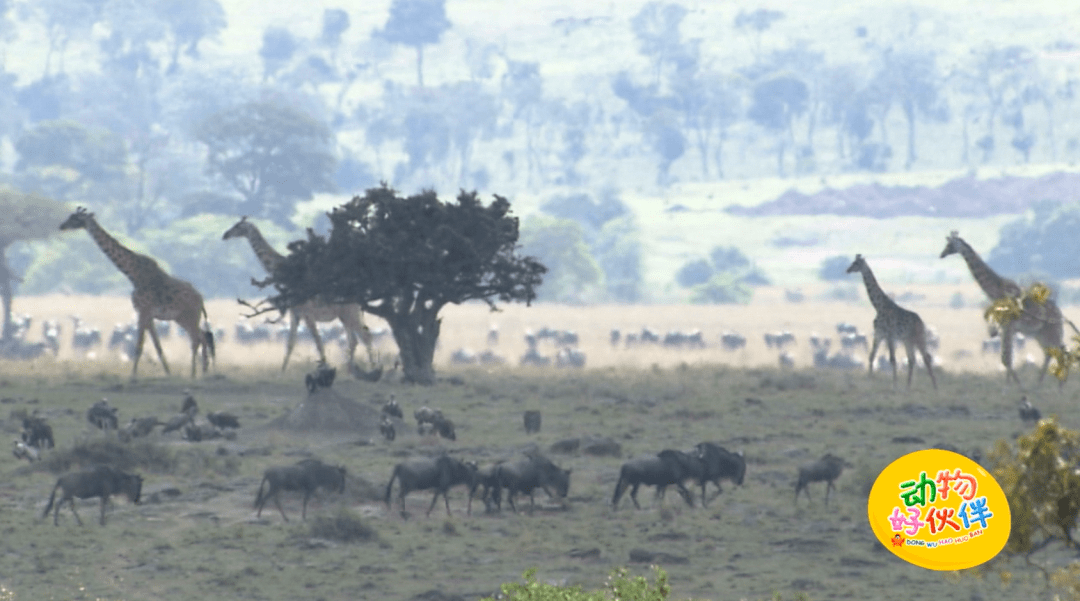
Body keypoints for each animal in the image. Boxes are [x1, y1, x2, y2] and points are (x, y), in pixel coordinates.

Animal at [59, 204, 212, 378]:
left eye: (76, 218)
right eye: (71, 216)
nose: (61, 226)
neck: (132, 274)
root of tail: (201, 300)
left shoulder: (143, 311)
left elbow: (139, 346)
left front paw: (133, 377)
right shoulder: (148, 315)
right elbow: (157, 346)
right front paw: (168, 373)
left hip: (189, 316)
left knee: (197, 339)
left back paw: (195, 374)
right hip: (181, 318)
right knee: (202, 337)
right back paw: (203, 372)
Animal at [221, 214, 378, 367]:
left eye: (238, 226)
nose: (225, 235)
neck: (288, 273)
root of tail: (361, 292)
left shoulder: (307, 313)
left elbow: (318, 344)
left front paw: (324, 369)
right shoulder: (294, 313)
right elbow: (290, 345)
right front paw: (282, 372)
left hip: (350, 312)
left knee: (365, 336)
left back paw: (373, 368)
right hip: (345, 315)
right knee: (354, 340)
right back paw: (352, 368)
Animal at [842, 255, 937, 389]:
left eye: (857, 263)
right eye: (853, 262)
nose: (848, 270)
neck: (878, 306)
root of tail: (922, 322)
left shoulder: (889, 335)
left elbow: (892, 359)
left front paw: (895, 384)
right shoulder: (879, 334)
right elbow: (871, 356)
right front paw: (870, 380)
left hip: (918, 338)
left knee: (926, 357)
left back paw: (935, 387)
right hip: (907, 340)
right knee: (912, 359)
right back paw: (908, 386)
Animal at [941, 230, 1067, 389]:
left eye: (949, 245)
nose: (942, 254)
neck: (995, 290)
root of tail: (1060, 315)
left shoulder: (1007, 325)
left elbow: (1006, 358)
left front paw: (1012, 387)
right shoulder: (1006, 328)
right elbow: (1007, 358)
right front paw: (1012, 385)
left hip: (1051, 331)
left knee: (1060, 352)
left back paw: (1059, 388)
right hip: (1040, 334)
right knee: (1051, 353)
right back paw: (1040, 384)